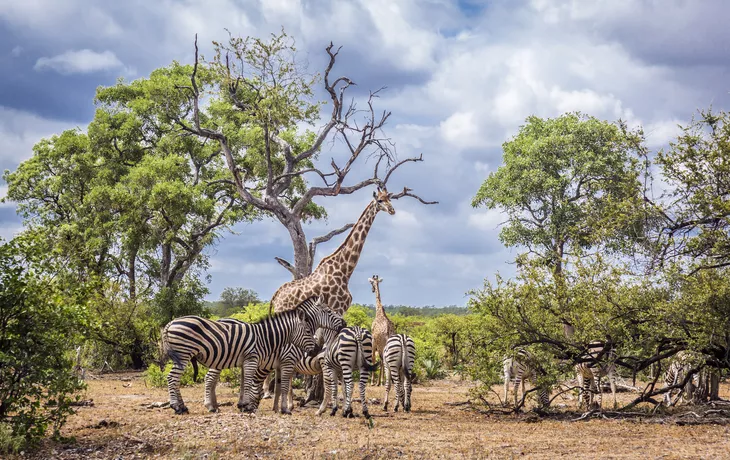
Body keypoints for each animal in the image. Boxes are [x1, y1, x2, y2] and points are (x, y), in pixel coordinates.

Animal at [266, 186, 392, 316]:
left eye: (389, 199)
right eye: (380, 200)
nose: (392, 210)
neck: (345, 271)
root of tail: (275, 297)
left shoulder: (341, 310)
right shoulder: (337, 308)